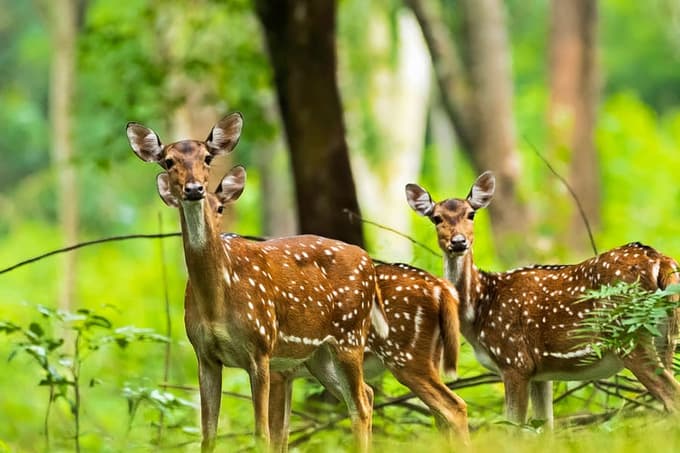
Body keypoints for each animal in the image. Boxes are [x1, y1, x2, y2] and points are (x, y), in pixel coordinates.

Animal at [126, 113, 388, 452]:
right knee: (365, 395)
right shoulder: (204, 354)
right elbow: (208, 435)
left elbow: (261, 433)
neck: (216, 301)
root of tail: (368, 260)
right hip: (319, 355)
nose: (194, 189)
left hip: (350, 335)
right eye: (169, 161)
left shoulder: (261, 347)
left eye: (207, 157)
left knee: (360, 404)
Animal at [197, 178, 470, 448]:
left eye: (220, 208)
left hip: (408, 356)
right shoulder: (286, 374)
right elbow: (283, 434)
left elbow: (275, 435)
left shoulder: (275, 371)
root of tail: (440, 287)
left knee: (452, 406)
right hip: (426, 357)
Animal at [405, 171, 680, 428]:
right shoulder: (541, 373)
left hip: (629, 335)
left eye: (471, 213)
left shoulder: (515, 361)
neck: (479, 308)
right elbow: (544, 428)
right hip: (666, 339)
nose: (459, 242)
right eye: (436, 218)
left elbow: (514, 428)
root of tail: (662, 261)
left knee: (671, 397)